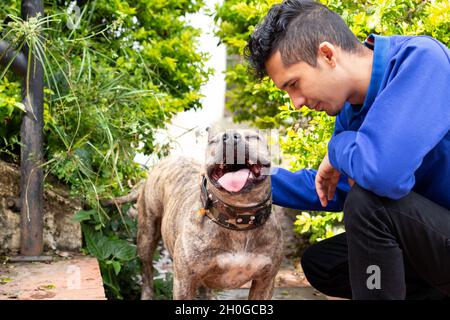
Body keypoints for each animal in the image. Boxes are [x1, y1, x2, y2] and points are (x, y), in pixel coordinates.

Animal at [137, 127, 284, 300]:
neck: (239, 219)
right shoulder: (184, 280)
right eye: (214, 141)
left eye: (252, 137)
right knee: (147, 271)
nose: (230, 137)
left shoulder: (265, 281)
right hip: (146, 236)